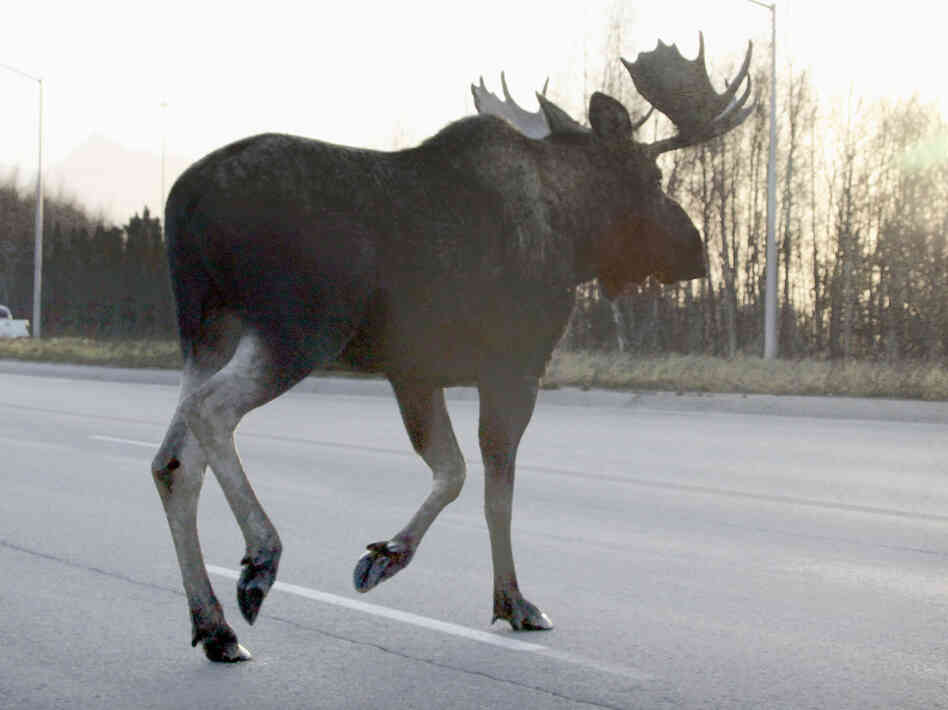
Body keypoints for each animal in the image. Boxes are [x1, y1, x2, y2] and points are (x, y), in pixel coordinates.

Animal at [151, 34, 753, 662]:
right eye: (654, 177)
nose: (697, 253)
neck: (577, 233)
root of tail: (183, 202)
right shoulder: (513, 366)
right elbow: (494, 487)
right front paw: (512, 601)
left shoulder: (416, 372)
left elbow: (451, 470)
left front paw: (385, 556)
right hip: (298, 327)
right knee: (210, 411)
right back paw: (259, 563)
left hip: (208, 328)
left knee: (173, 463)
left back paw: (214, 627)